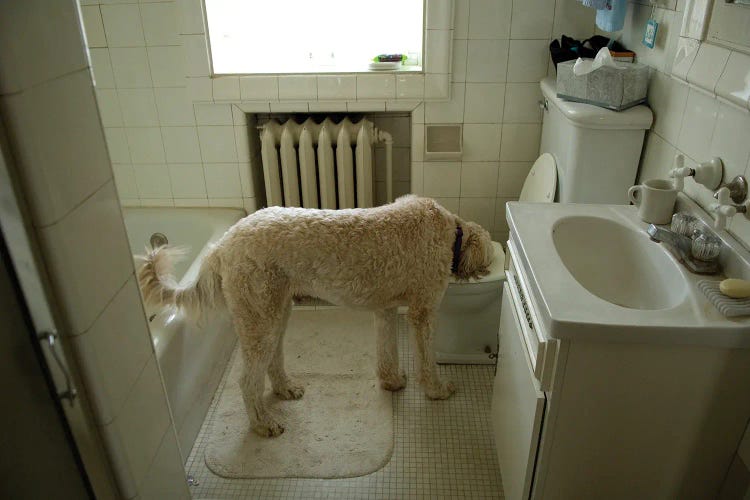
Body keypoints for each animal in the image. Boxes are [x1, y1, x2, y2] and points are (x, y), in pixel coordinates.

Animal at [140, 193, 494, 436]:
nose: (487, 269)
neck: (450, 232)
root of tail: (222, 245)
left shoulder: (385, 309)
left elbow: (387, 352)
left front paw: (392, 381)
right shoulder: (423, 312)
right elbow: (427, 360)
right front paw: (437, 390)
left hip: (275, 313)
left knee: (273, 361)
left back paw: (285, 389)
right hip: (259, 320)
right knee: (247, 381)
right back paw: (263, 424)